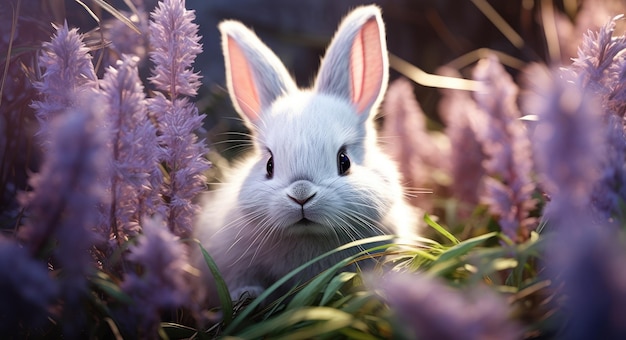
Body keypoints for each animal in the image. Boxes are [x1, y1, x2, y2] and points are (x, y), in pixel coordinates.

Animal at [196, 4, 414, 302]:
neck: (308, 236)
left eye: (344, 161)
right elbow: (239, 280)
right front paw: (247, 294)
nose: (301, 195)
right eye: (269, 165)